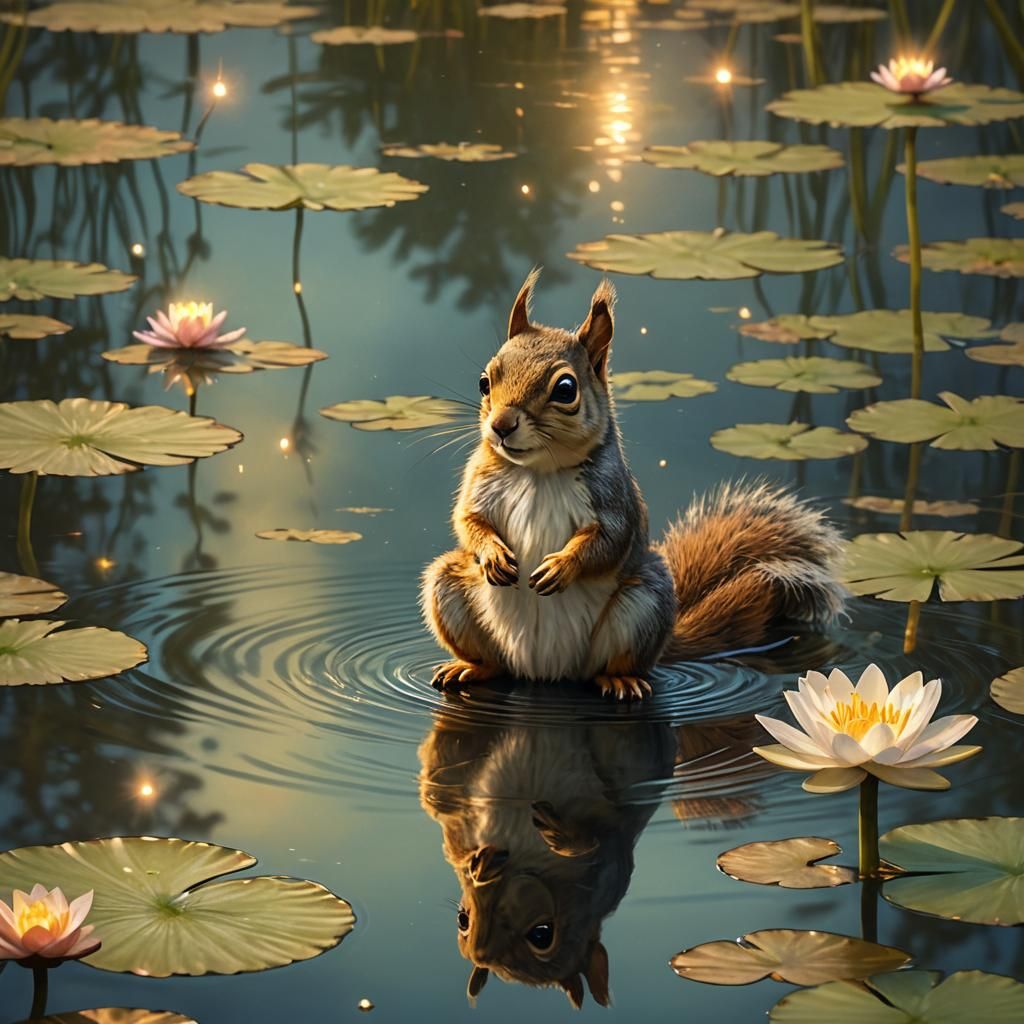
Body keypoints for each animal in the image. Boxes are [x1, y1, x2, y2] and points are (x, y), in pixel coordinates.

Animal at [421, 270, 845, 699]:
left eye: (565, 389)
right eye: (484, 382)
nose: (501, 426)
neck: (538, 471)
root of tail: (544, 672)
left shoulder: (614, 498)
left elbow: (608, 541)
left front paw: (562, 565)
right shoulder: (479, 482)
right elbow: (468, 521)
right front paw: (492, 553)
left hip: (644, 602)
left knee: (614, 663)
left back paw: (620, 679)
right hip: (447, 586)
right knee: (493, 660)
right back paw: (469, 667)